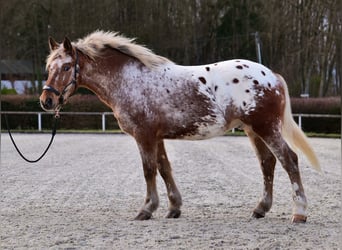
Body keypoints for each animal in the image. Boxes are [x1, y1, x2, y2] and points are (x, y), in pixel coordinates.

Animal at [40, 29, 320, 223]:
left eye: (66, 67)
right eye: (48, 67)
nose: (46, 100)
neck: (129, 80)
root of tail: (272, 75)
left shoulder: (144, 136)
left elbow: (149, 170)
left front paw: (146, 209)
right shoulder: (157, 137)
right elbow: (165, 169)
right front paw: (174, 208)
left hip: (266, 128)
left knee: (289, 160)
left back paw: (299, 213)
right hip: (253, 130)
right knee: (267, 164)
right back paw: (260, 209)